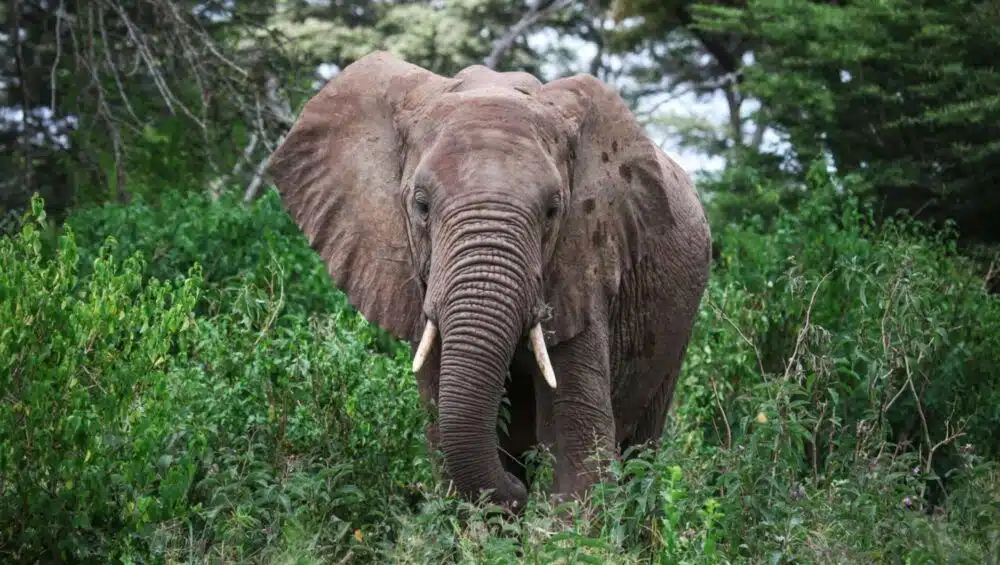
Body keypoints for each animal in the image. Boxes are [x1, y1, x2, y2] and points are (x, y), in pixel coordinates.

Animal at [266, 50, 712, 512]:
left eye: (553, 211)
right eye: (421, 205)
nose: (517, 491)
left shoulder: (585, 262)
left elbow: (576, 445)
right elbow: (442, 425)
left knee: (643, 447)